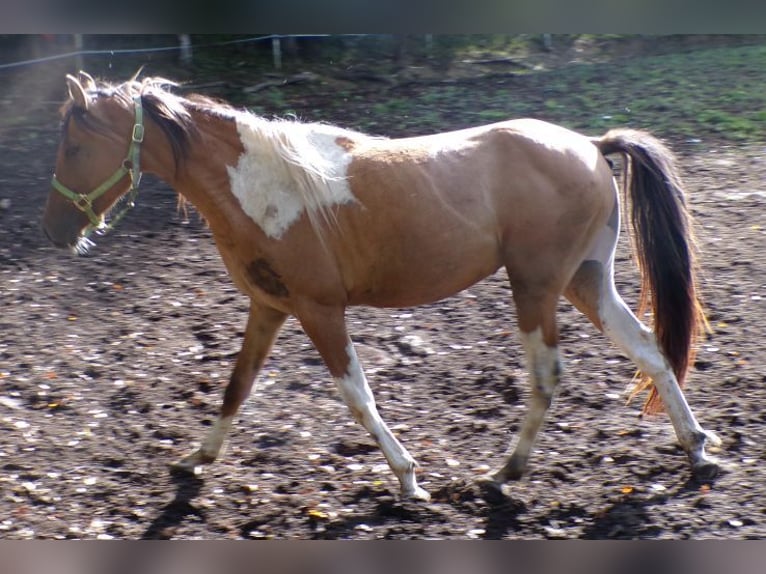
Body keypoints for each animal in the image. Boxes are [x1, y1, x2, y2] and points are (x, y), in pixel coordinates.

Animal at [42, 71, 720, 501]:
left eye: (73, 145)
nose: (56, 231)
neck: (260, 186)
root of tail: (591, 144)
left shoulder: (320, 310)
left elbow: (357, 397)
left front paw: (409, 478)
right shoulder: (268, 307)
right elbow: (237, 387)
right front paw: (195, 460)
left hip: (535, 287)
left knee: (548, 376)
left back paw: (504, 474)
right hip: (586, 280)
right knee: (651, 351)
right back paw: (696, 449)